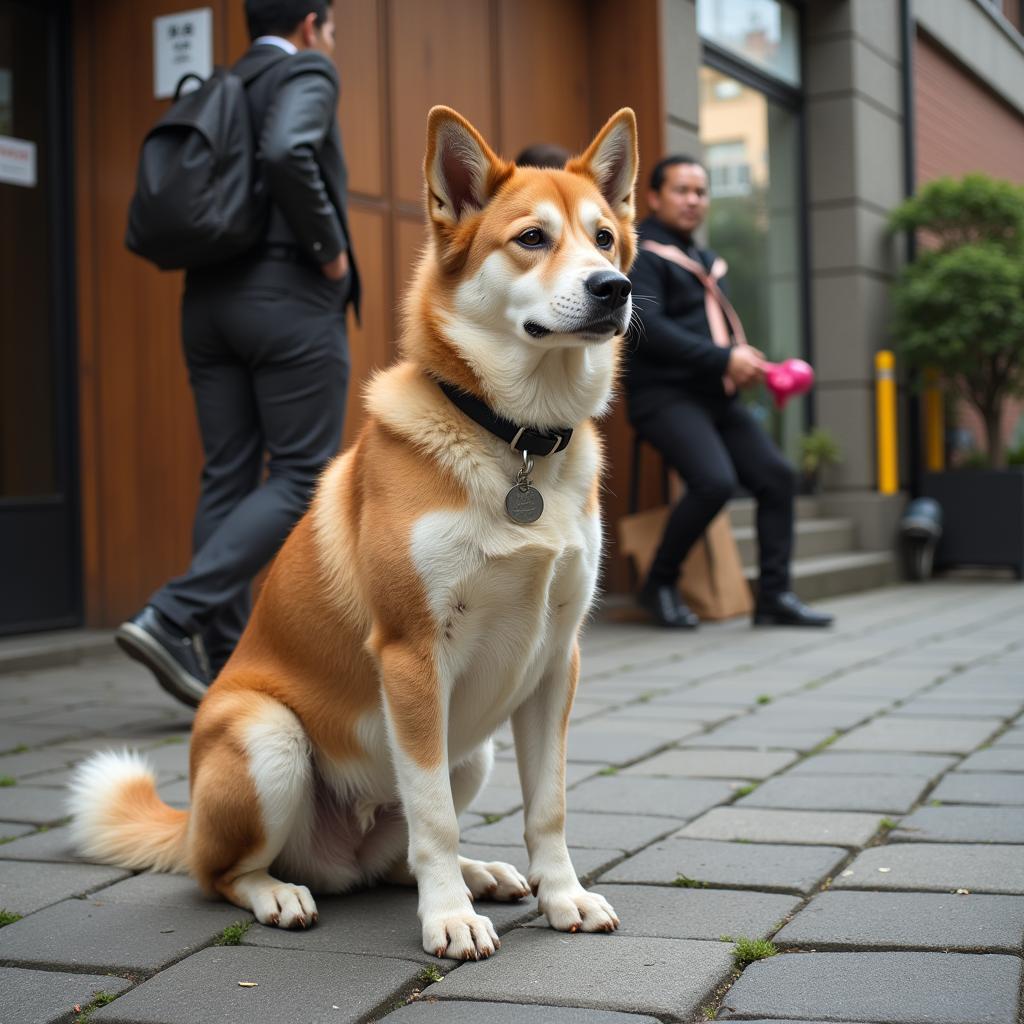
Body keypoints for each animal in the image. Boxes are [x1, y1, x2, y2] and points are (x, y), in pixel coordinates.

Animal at [68, 103, 634, 958]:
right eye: (532, 238)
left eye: (603, 237)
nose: (615, 287)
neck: (515, 441)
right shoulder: (410, 656)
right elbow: (433, 815)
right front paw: (448, 922)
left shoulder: (554, 661)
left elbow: (549, 806)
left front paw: (562, 896)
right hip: (268, 739)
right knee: (225, 874)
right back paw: (283, 893)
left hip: (474, 747)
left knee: (396, 858)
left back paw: (481, 874)